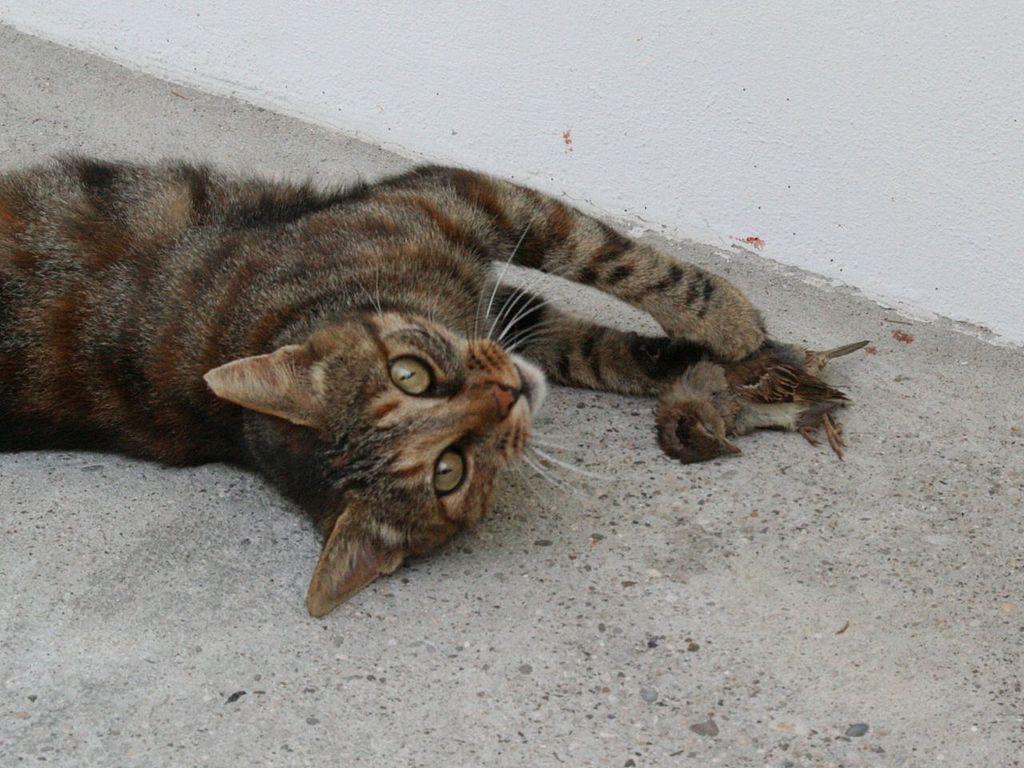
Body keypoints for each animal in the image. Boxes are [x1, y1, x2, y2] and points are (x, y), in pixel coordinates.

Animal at [0, 157, 765, 618]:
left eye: (410, 374)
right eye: (450, 472)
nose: (504, 397)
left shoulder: (460, 199)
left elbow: (609, 260)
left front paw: (730, 330)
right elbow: (594, 325)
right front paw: (727, 356)